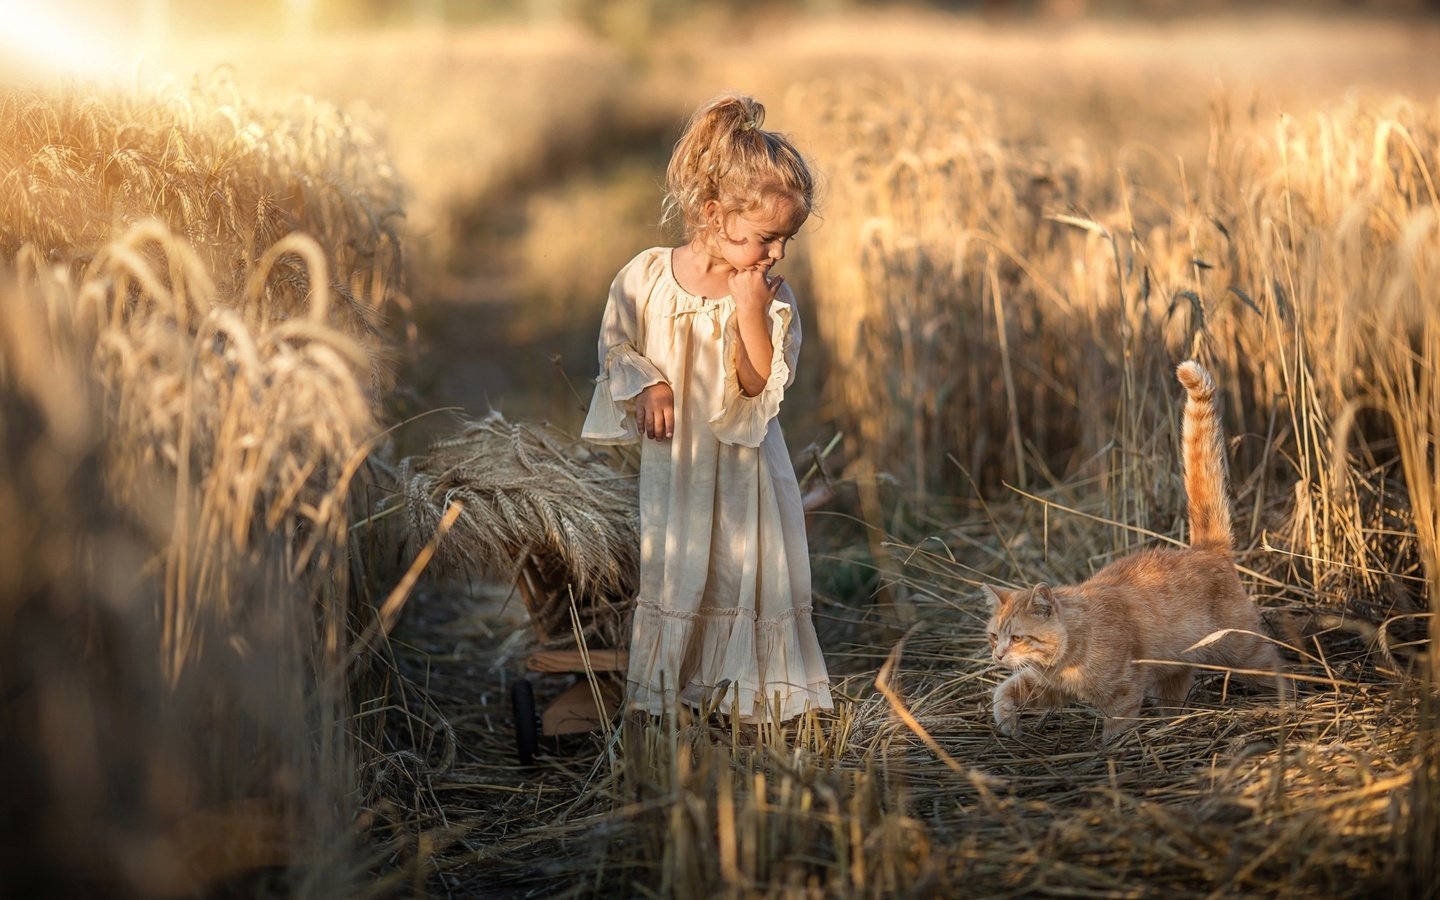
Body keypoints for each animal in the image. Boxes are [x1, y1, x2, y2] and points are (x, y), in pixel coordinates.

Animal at [990, 360, 1284, 743]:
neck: (1073, 645)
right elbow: (1004, 690)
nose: (996, 656)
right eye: (994, 636)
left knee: (1276, 666)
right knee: (1175, 695)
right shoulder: (1045, 685)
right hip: (1174, 669)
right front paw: (1006, 721)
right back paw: (1170, 727)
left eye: (1018, 637)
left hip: (1243, 650)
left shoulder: (1124, 692)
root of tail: (1206, 548)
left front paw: (1109, 751)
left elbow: (1116, 730)